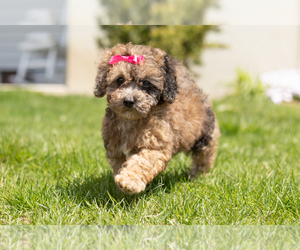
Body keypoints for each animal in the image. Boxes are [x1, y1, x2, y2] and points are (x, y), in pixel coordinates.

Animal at [94, 43, 220, 194]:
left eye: (147, 83)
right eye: (120, 80)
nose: (129, 101)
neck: (131, 120)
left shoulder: (156, 145)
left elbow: (143, 162)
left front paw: (129, 181)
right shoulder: (115, 148)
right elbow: (119, 164)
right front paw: (120, 188)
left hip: (205, 136)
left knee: (204, 156)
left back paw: (199, 176)